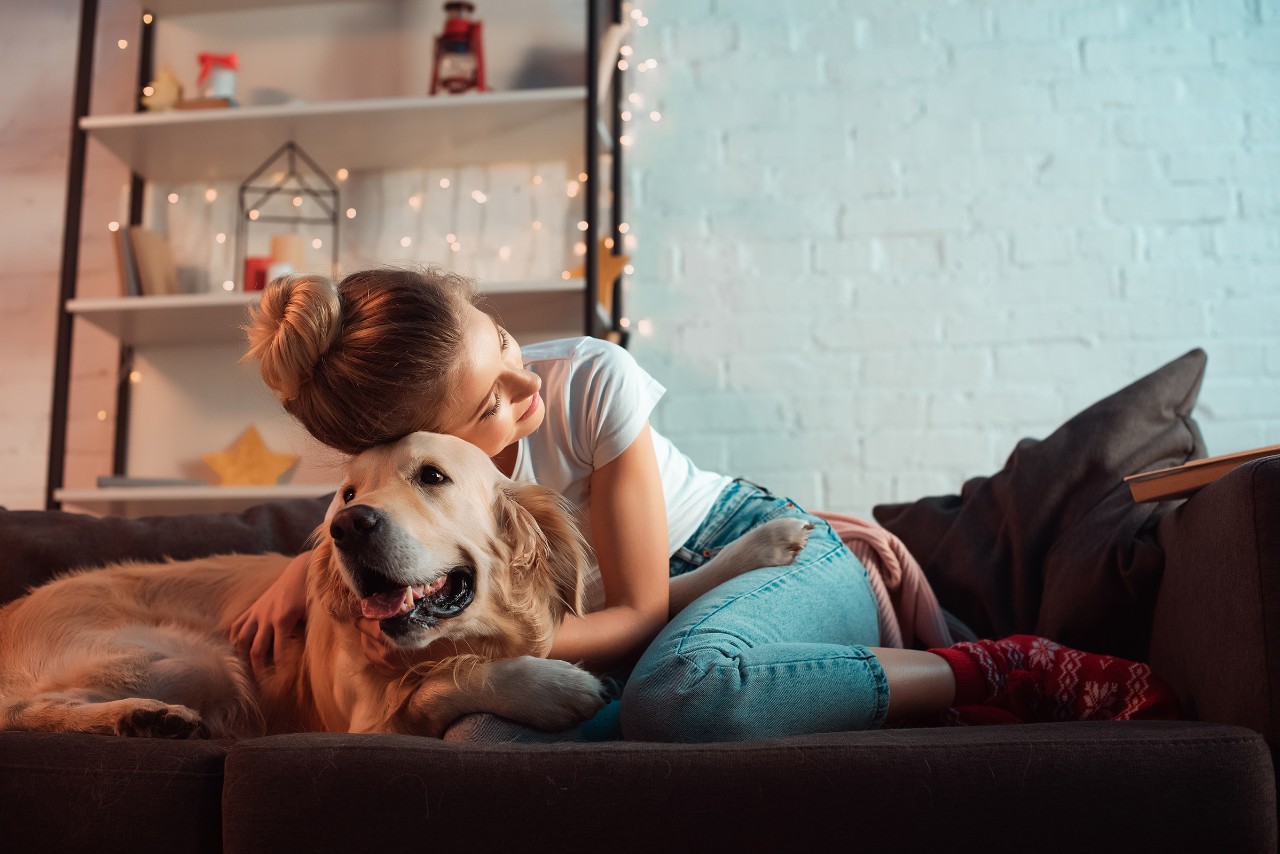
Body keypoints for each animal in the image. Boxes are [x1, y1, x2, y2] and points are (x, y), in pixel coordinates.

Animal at [0, 435, 808, 742]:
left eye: (432, 476)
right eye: (347, 492)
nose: (347, 526)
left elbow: (663, 593)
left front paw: (766, 541)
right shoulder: (369, 724)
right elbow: (446, 683)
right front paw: (553, 687)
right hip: (201, 660)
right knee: (28, 713)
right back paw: (145, 719)